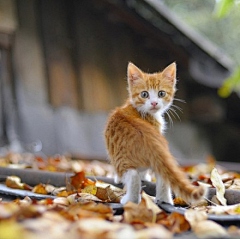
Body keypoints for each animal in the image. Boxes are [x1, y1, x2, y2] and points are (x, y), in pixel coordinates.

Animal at [104, 62, 207, 204]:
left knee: (133, 176)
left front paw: (122, 178)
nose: (154, 102)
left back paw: (130, 200)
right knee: (163, 175)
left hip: (121, 159)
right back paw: (165, 200)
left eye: (161, 93)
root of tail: (148, 138)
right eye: (144, 94)